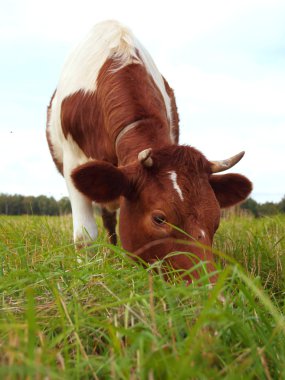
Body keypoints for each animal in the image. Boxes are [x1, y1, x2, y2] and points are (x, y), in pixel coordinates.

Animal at [46, 20, 251, 282]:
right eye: (159, 218)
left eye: (216, 219)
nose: (209, 286)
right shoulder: (73, 161)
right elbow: (85, 236)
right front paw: (87, 274)